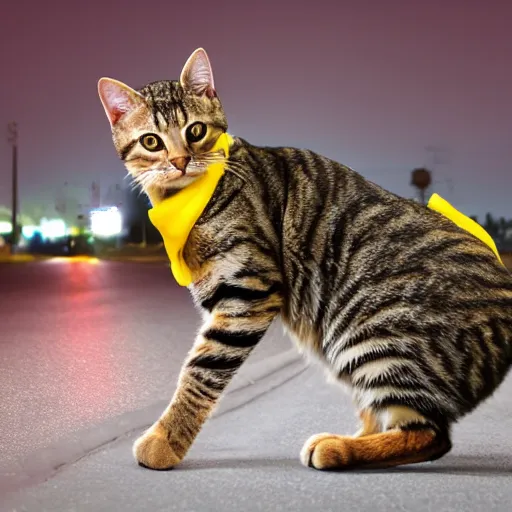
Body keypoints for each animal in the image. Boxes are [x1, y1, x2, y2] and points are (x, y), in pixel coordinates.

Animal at [98, 49, 512, 472]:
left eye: (195, 131)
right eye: (151, 141)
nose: (181, 161)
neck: (188, 201)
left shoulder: (247, 292)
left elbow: (201, 372)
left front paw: (165, 441)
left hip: (370, 330)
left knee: (429, 434)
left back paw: (338, 450)